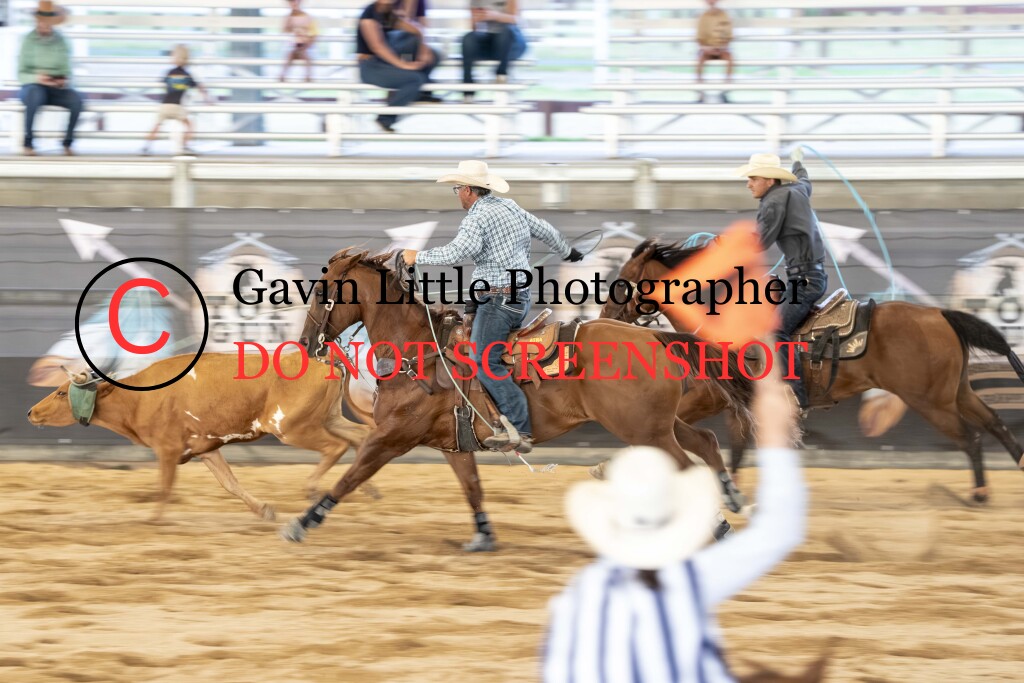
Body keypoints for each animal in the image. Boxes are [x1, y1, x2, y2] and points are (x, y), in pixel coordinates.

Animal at [27, 351, 373, 522]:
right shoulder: (206, 448)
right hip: (328, 417)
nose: (31, 412)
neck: (140, 397)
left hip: (293, 428)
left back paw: (314, 488)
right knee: (362, 435)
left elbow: (164, 487)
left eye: (60, 393)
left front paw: (153, 520)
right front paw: (263, 509)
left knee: (336, 445)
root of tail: (328, 363)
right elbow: (230, 483)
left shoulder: (167, 449)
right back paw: (367, 487)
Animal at [281, 249, 754, 549]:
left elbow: (350, 476)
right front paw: (483, 536)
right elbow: (472, 487)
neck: (420, 351)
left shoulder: (392, 436)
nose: (305, 344)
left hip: (642, 429)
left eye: (322, 293)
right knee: (704, 441)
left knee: (685, 465)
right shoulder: (453, 443)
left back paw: (717, 525)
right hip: (655, 423)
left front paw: (303, 523)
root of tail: (653, 336)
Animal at [601, 238, 1024, 503]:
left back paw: (980, 494)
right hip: (956, 393)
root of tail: (940, 314)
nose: (605, 315)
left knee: (971, 437)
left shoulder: (712, 395)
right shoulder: (734, 403)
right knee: (994, 423)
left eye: (623, 281)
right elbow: (734, 447)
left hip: (931, 402)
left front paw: (607, 467)